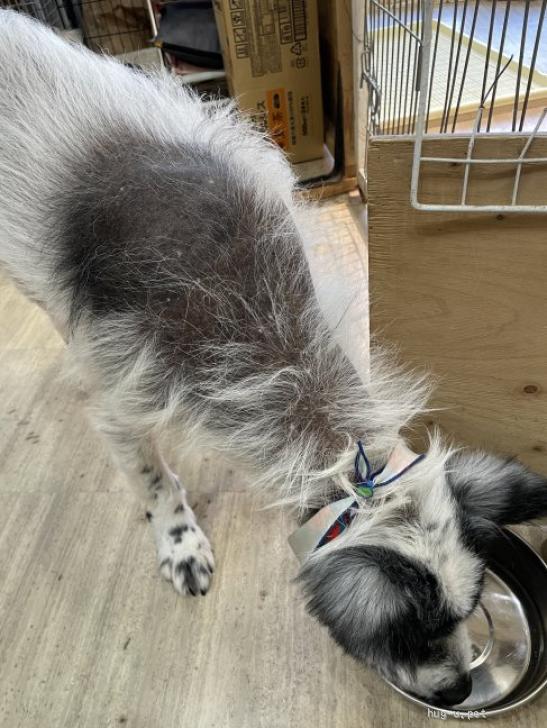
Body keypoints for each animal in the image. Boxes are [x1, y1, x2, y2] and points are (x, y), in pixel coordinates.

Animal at [2, 10, 547, 707]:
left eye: (469, 607)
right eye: (408, 637)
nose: (457, 690)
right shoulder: (125, 404)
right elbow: (155, 482)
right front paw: (179, 540)